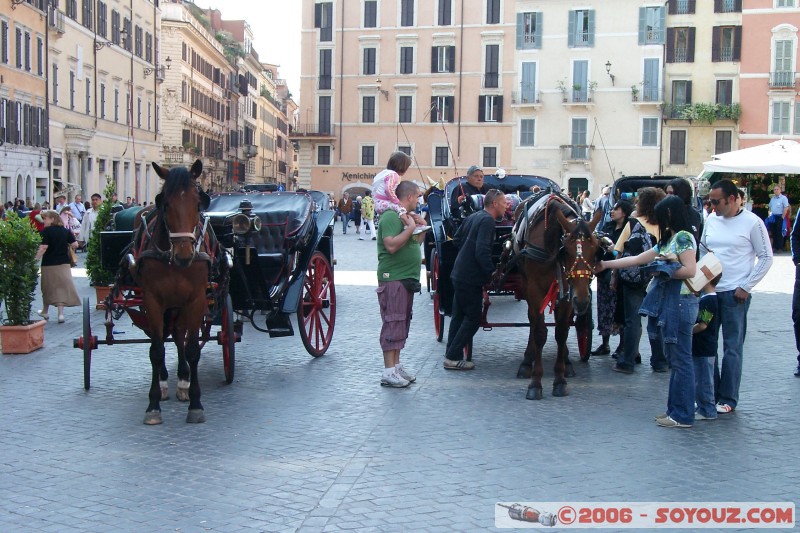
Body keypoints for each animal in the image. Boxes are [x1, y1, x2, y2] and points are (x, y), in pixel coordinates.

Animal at [138, 159, 211, 424]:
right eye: (165, 203)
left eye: (198, 203)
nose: (184, 254)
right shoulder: (151, 300)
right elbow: (156, 350)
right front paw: (153, 405)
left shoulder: (196, 299)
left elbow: (191, 349)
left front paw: (196, 403)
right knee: (160, 337)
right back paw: (164, 382)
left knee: (179, 335)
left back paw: (183, 381)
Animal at [512, 197, 600, 402]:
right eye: (566, 251)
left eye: (595, 251)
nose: (582, 301)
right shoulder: (535, 291)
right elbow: (539, 332)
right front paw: (535, 382)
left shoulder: (567, 294)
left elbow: (561, 333)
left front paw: (560, 379)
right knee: (533, 321)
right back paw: (527, 361)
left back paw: (567, 362)